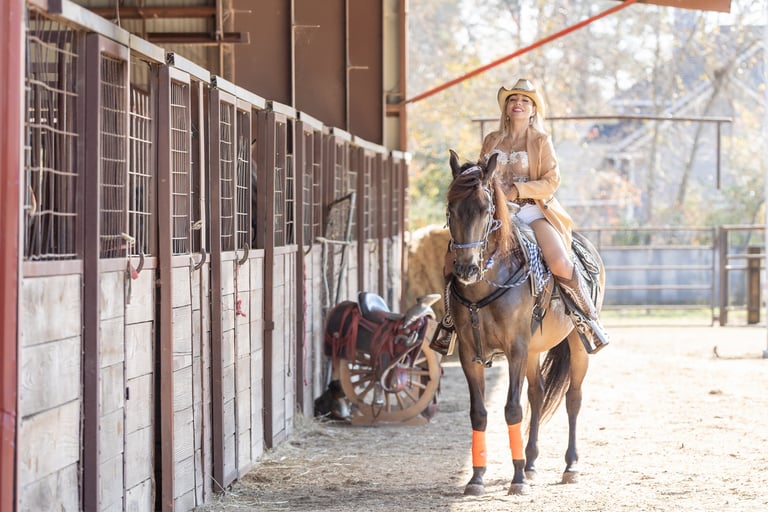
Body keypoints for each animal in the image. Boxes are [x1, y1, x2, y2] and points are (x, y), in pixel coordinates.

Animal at [444, 149, 605, 496]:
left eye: (485, 209)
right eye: (450, 209)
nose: (466, 269)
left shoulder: (515, 349)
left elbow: (512, 408)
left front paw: (516, 479)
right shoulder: (470, 354)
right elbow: (479, 413)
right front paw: (477, 478)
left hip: (576, 345)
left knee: (573, 398)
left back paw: (570, 466)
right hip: (534, 350)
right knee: (538, 394)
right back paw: (530, 463)